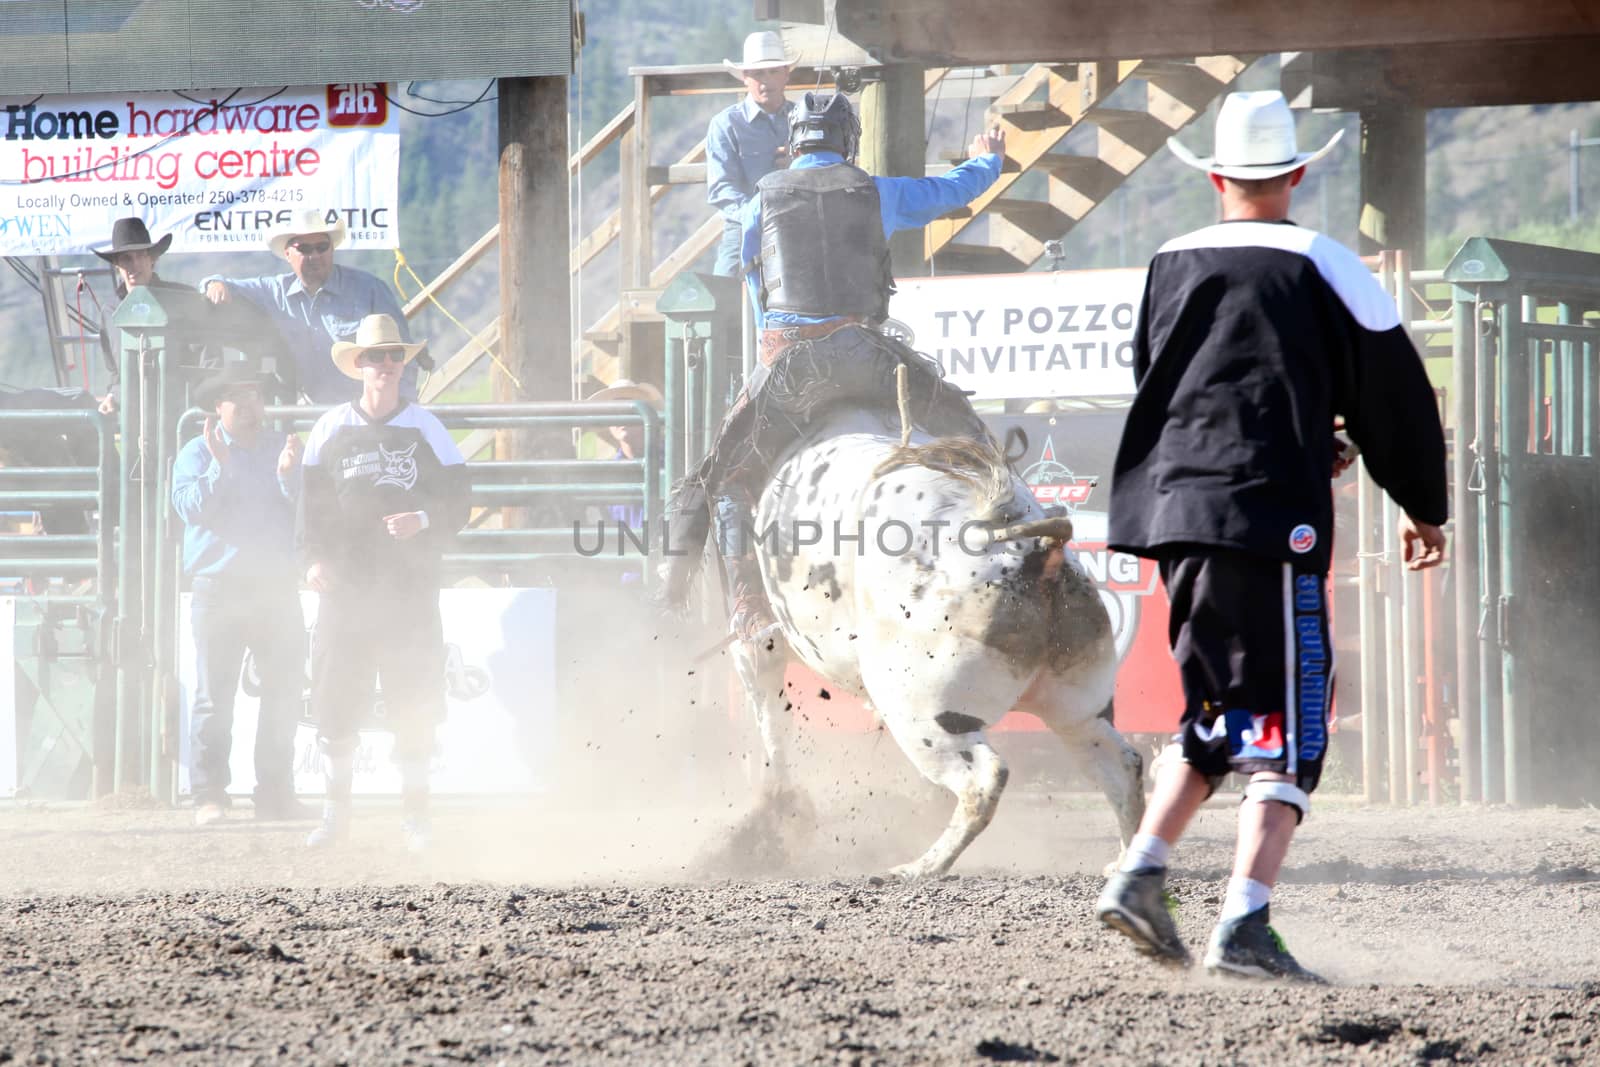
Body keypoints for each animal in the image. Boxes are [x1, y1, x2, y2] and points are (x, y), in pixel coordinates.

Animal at [732, 412, 1145, 883]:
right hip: (1078, 704)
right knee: (1120, 762)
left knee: (984, 779)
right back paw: (1124, 859)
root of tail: (1030, 551)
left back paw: (922, 865)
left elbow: (762, 682)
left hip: (923, 711)